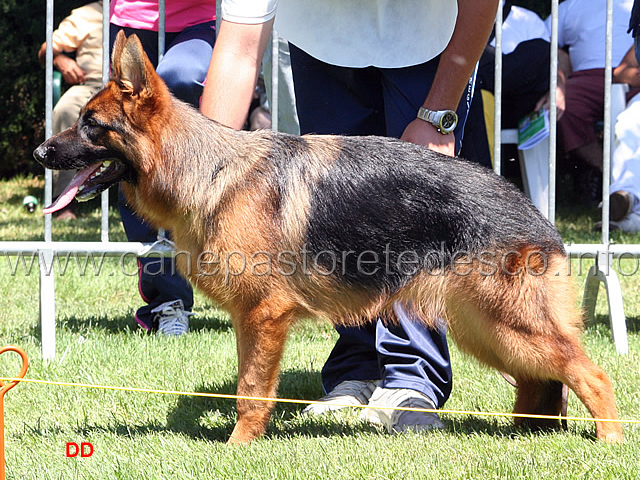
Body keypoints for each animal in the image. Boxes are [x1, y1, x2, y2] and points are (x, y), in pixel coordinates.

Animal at [35, 32, 624, 442]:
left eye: (91, 126)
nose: (40, 153)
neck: (207, 172)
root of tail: (534, 212)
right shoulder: (252, 320)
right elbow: (250, 385)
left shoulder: (263, 315)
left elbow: (251, 391)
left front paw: (238, 447)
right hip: (486, 329)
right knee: (541, 380)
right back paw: (528, 433)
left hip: (506, 324)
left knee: (590, 373)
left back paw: (609, 439)